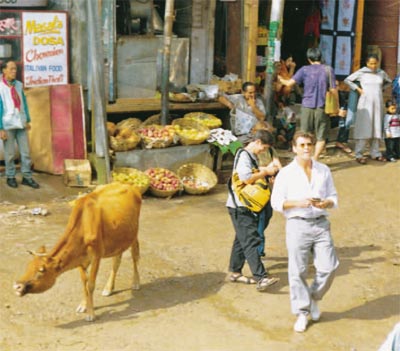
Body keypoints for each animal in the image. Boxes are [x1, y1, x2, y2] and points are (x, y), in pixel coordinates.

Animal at [14, 183, 141, 324]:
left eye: (41, 271)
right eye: (28, 266)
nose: (17, 286)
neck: (84, 225)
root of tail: (128, 185)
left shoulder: (97, 255)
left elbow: (90, 284)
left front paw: (91, 314)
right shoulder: (80, 258)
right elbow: (84, 283)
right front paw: (83, 306)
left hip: (134, 234)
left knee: (135, 255)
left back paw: (136, 282)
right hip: (119, 238)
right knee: (116, 260)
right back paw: (108, 288)